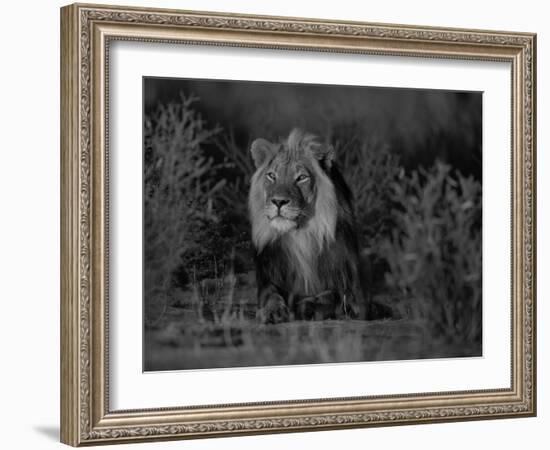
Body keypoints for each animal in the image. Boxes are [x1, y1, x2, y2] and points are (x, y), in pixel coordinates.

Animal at [249, 128, 366, 322]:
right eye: (272, 176)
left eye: (301, 178)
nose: (278, 201)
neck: (302, 236)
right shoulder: (269, 276)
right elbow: (270, 294)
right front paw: (272, 311)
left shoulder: (354, 295)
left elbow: (332, 296)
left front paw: (306, 306)